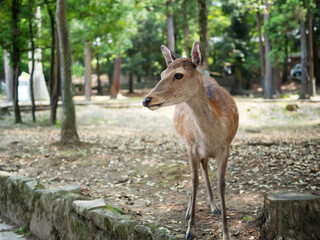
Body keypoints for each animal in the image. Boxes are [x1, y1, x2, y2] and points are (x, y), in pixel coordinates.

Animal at [142, 42, 238, 239]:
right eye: (162, 74)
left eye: (178, 74)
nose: (146, 99)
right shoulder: (192, 146)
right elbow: (194, 182)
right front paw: (190, 230)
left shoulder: (225, 148)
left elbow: (222, 185)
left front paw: (226, 233)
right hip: (185, 143)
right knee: (197, 171)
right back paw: (190, 212)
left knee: (204, 167)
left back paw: (213, 206)